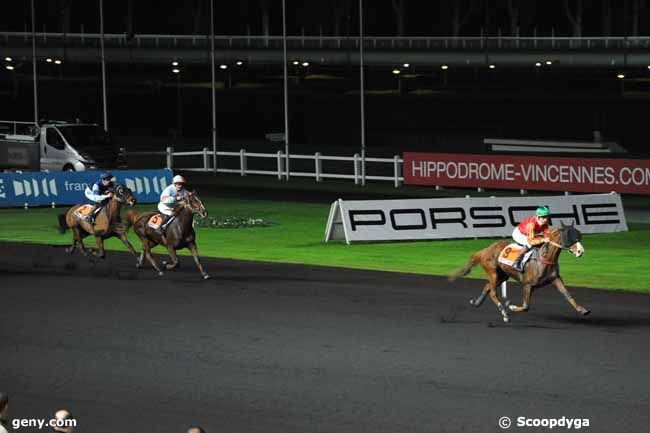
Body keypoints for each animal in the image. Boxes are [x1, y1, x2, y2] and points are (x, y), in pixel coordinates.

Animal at [448, 223, 588, 320]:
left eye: (578, 234)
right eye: (569, 236)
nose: (580, 251)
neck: (543, 258)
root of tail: (486, 249)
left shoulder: (555, 279)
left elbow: (567, 295)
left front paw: (582, 309)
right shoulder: (528, 284)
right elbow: (526, 306)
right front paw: (511, 306)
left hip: (502, 276)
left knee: (487, 286)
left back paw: (477, 302)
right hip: (492, 272)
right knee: (492, 292)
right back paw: (504, 314)